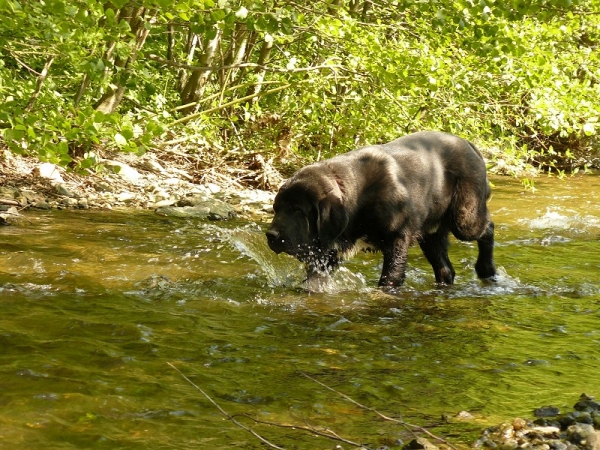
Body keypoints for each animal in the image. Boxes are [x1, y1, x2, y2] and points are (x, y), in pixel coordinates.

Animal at [264, 130, 494, 286]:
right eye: (276, 208)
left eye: (298, 210)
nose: (271, 235)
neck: (359, 195)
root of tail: (470, 144)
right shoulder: (329, 253)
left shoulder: (398, 237)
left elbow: (390, 275)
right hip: (431, 233)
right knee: (445, 269)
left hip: (464, 219)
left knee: (487, 227)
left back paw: (486, 269)